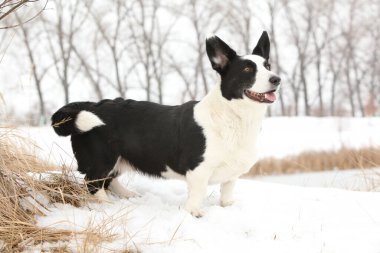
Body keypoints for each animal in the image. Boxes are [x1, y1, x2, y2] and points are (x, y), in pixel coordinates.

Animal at [51, 31, 280, 217]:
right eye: (247, 69)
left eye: (268, 66)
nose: (276, 79)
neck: (234, 116)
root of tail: (88, 105)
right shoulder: (198, 171)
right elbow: (197, 195)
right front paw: (194, 213)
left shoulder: (231, 175)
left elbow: (227, 192)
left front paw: (228, 207)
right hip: (103, 158)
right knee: (93, 183)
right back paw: (107, 206)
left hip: (117, 159)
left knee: (109, 180)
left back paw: (128, 196)